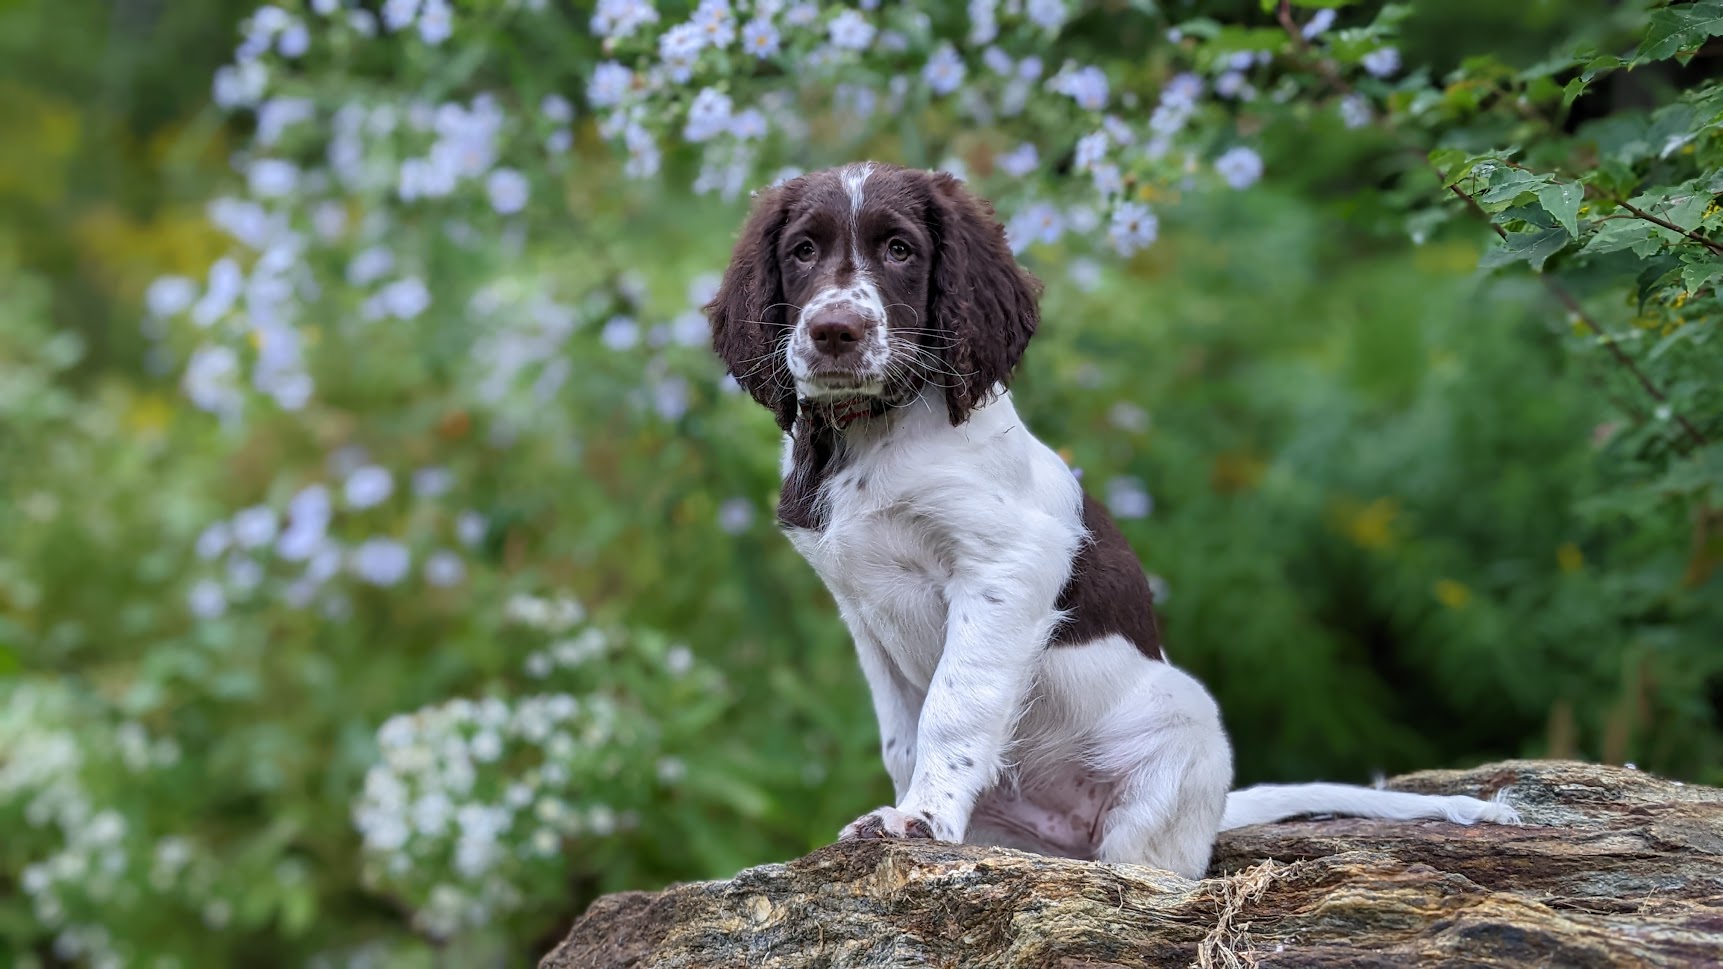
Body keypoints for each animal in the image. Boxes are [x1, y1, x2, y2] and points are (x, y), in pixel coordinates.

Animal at [699, 160, 1523, 875]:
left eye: (900, 249)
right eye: (802, 251)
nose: (833, 331)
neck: (871, 434)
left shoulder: (1007, 562)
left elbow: (954, 705)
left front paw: (922, 818)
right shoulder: (859, 604)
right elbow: (903, 732)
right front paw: (911, 810)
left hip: (1177, 748)